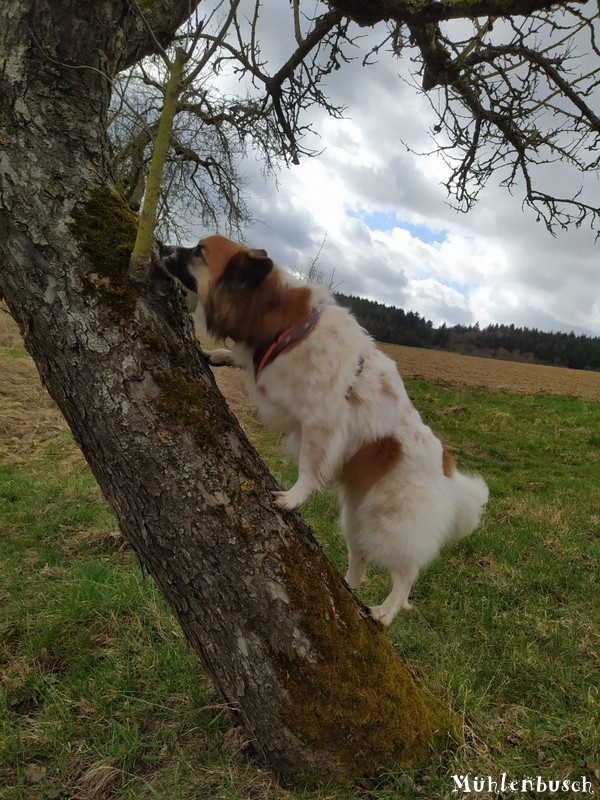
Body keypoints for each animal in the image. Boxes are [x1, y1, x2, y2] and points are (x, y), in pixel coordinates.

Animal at [158, 234, 488, 628]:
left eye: (199, 252)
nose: (160, 247)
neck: (283, 322)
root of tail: (447, 473)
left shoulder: (321, 424)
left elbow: (309, 468)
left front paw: (293, 498)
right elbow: (239, 358)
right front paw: (220, 356)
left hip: (390, 524)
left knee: (406, 575)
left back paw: (385, 612)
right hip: (356, 517)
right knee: (360, 557)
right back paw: (349, 585)